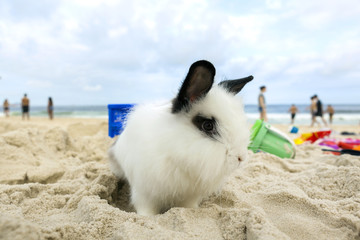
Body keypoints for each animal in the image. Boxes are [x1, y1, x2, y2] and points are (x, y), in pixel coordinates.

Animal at [109, 60, 253, 216]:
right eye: (208, 125)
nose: (241, 158)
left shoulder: (190, 195)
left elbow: (188, 206)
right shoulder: (144, 192)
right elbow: (146, 209)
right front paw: (146, 217)